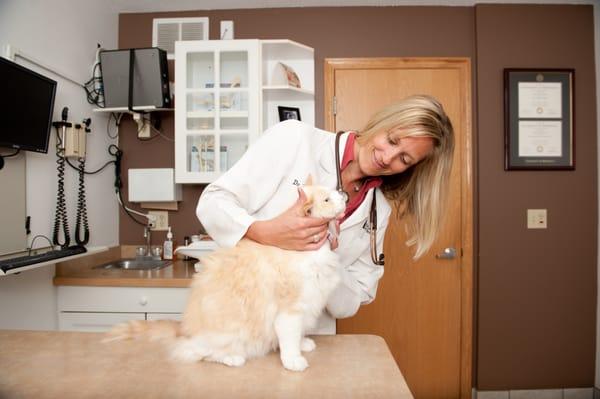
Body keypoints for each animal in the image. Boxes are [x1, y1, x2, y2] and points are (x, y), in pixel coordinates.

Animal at [105, 178, 344, 372]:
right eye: (326, 199)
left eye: (332, 192)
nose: (343, 195)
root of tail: (185, 329)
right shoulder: (289, 310)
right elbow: (289, 337)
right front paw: (293, 359)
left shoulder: (308, 303)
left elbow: (299, 332)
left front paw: (303, 344)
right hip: (226, 333)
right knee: (195, 352)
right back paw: (231, 358)